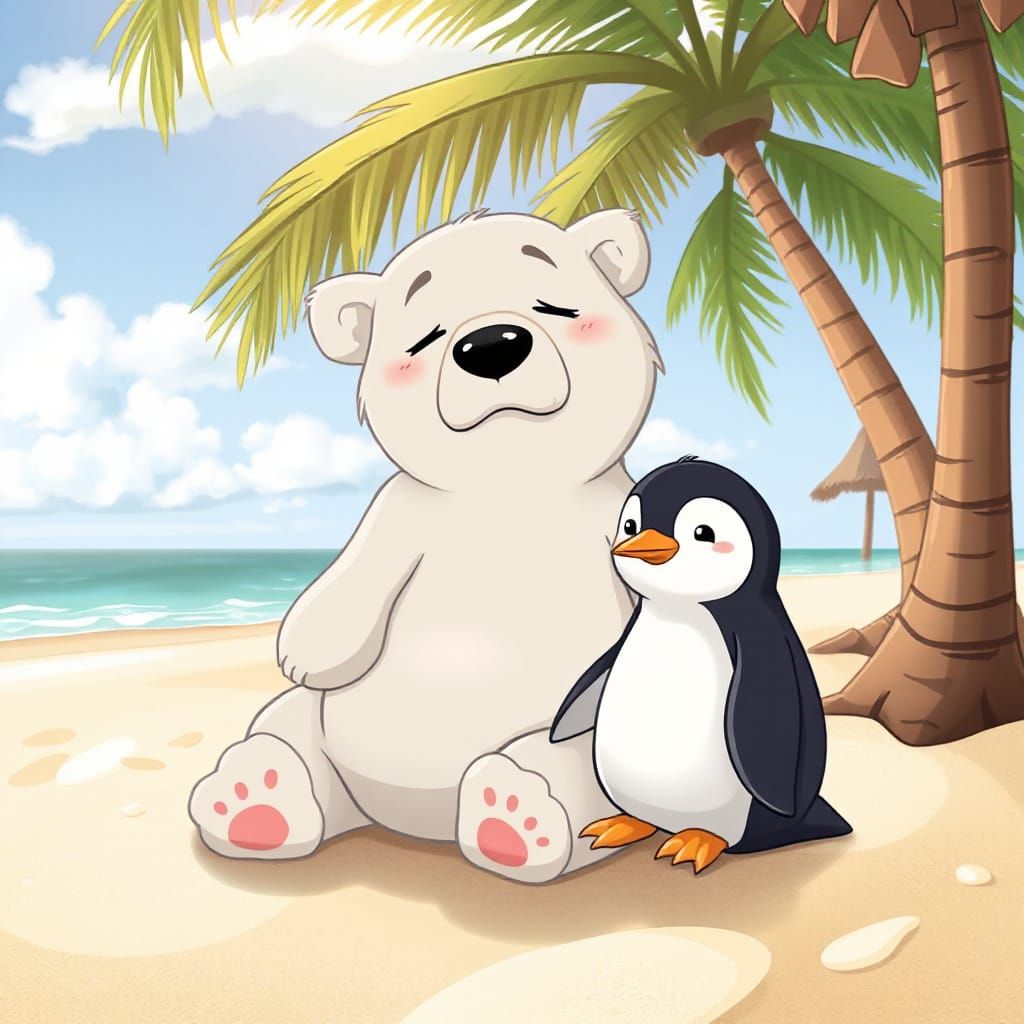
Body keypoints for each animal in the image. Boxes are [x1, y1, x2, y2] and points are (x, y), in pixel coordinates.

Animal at [188, 208, 662, 884]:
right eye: (425, 339)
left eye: (554, 308)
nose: (491, 344)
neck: (511, 488)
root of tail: (412, 821)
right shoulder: (396, 514)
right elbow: (350, 586)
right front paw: (306, 650)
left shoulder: (621, 521)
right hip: (321, 730)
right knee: (290, 729)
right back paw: (257, 797)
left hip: (574, 749)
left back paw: (516, 817)